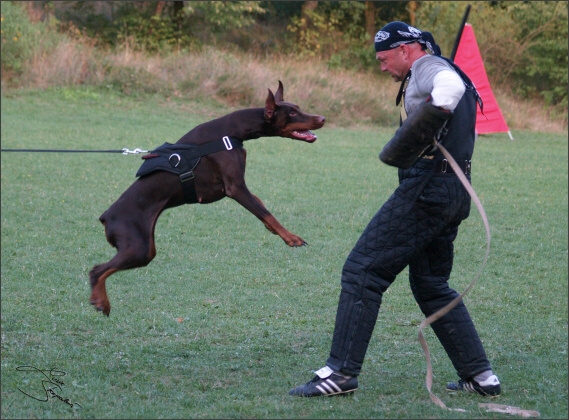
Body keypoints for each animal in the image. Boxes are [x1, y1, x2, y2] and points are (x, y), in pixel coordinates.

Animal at [91, 81, 326, 316]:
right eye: (292, 113)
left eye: (298, 107)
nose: (323, 118)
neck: (232, 130)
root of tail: (106, 217)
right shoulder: (235, 187)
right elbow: (266, 213)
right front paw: (291, 237)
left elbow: (261, 205)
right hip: (139, 247)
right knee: (97, 270)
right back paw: (101, 301)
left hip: (143, 247)